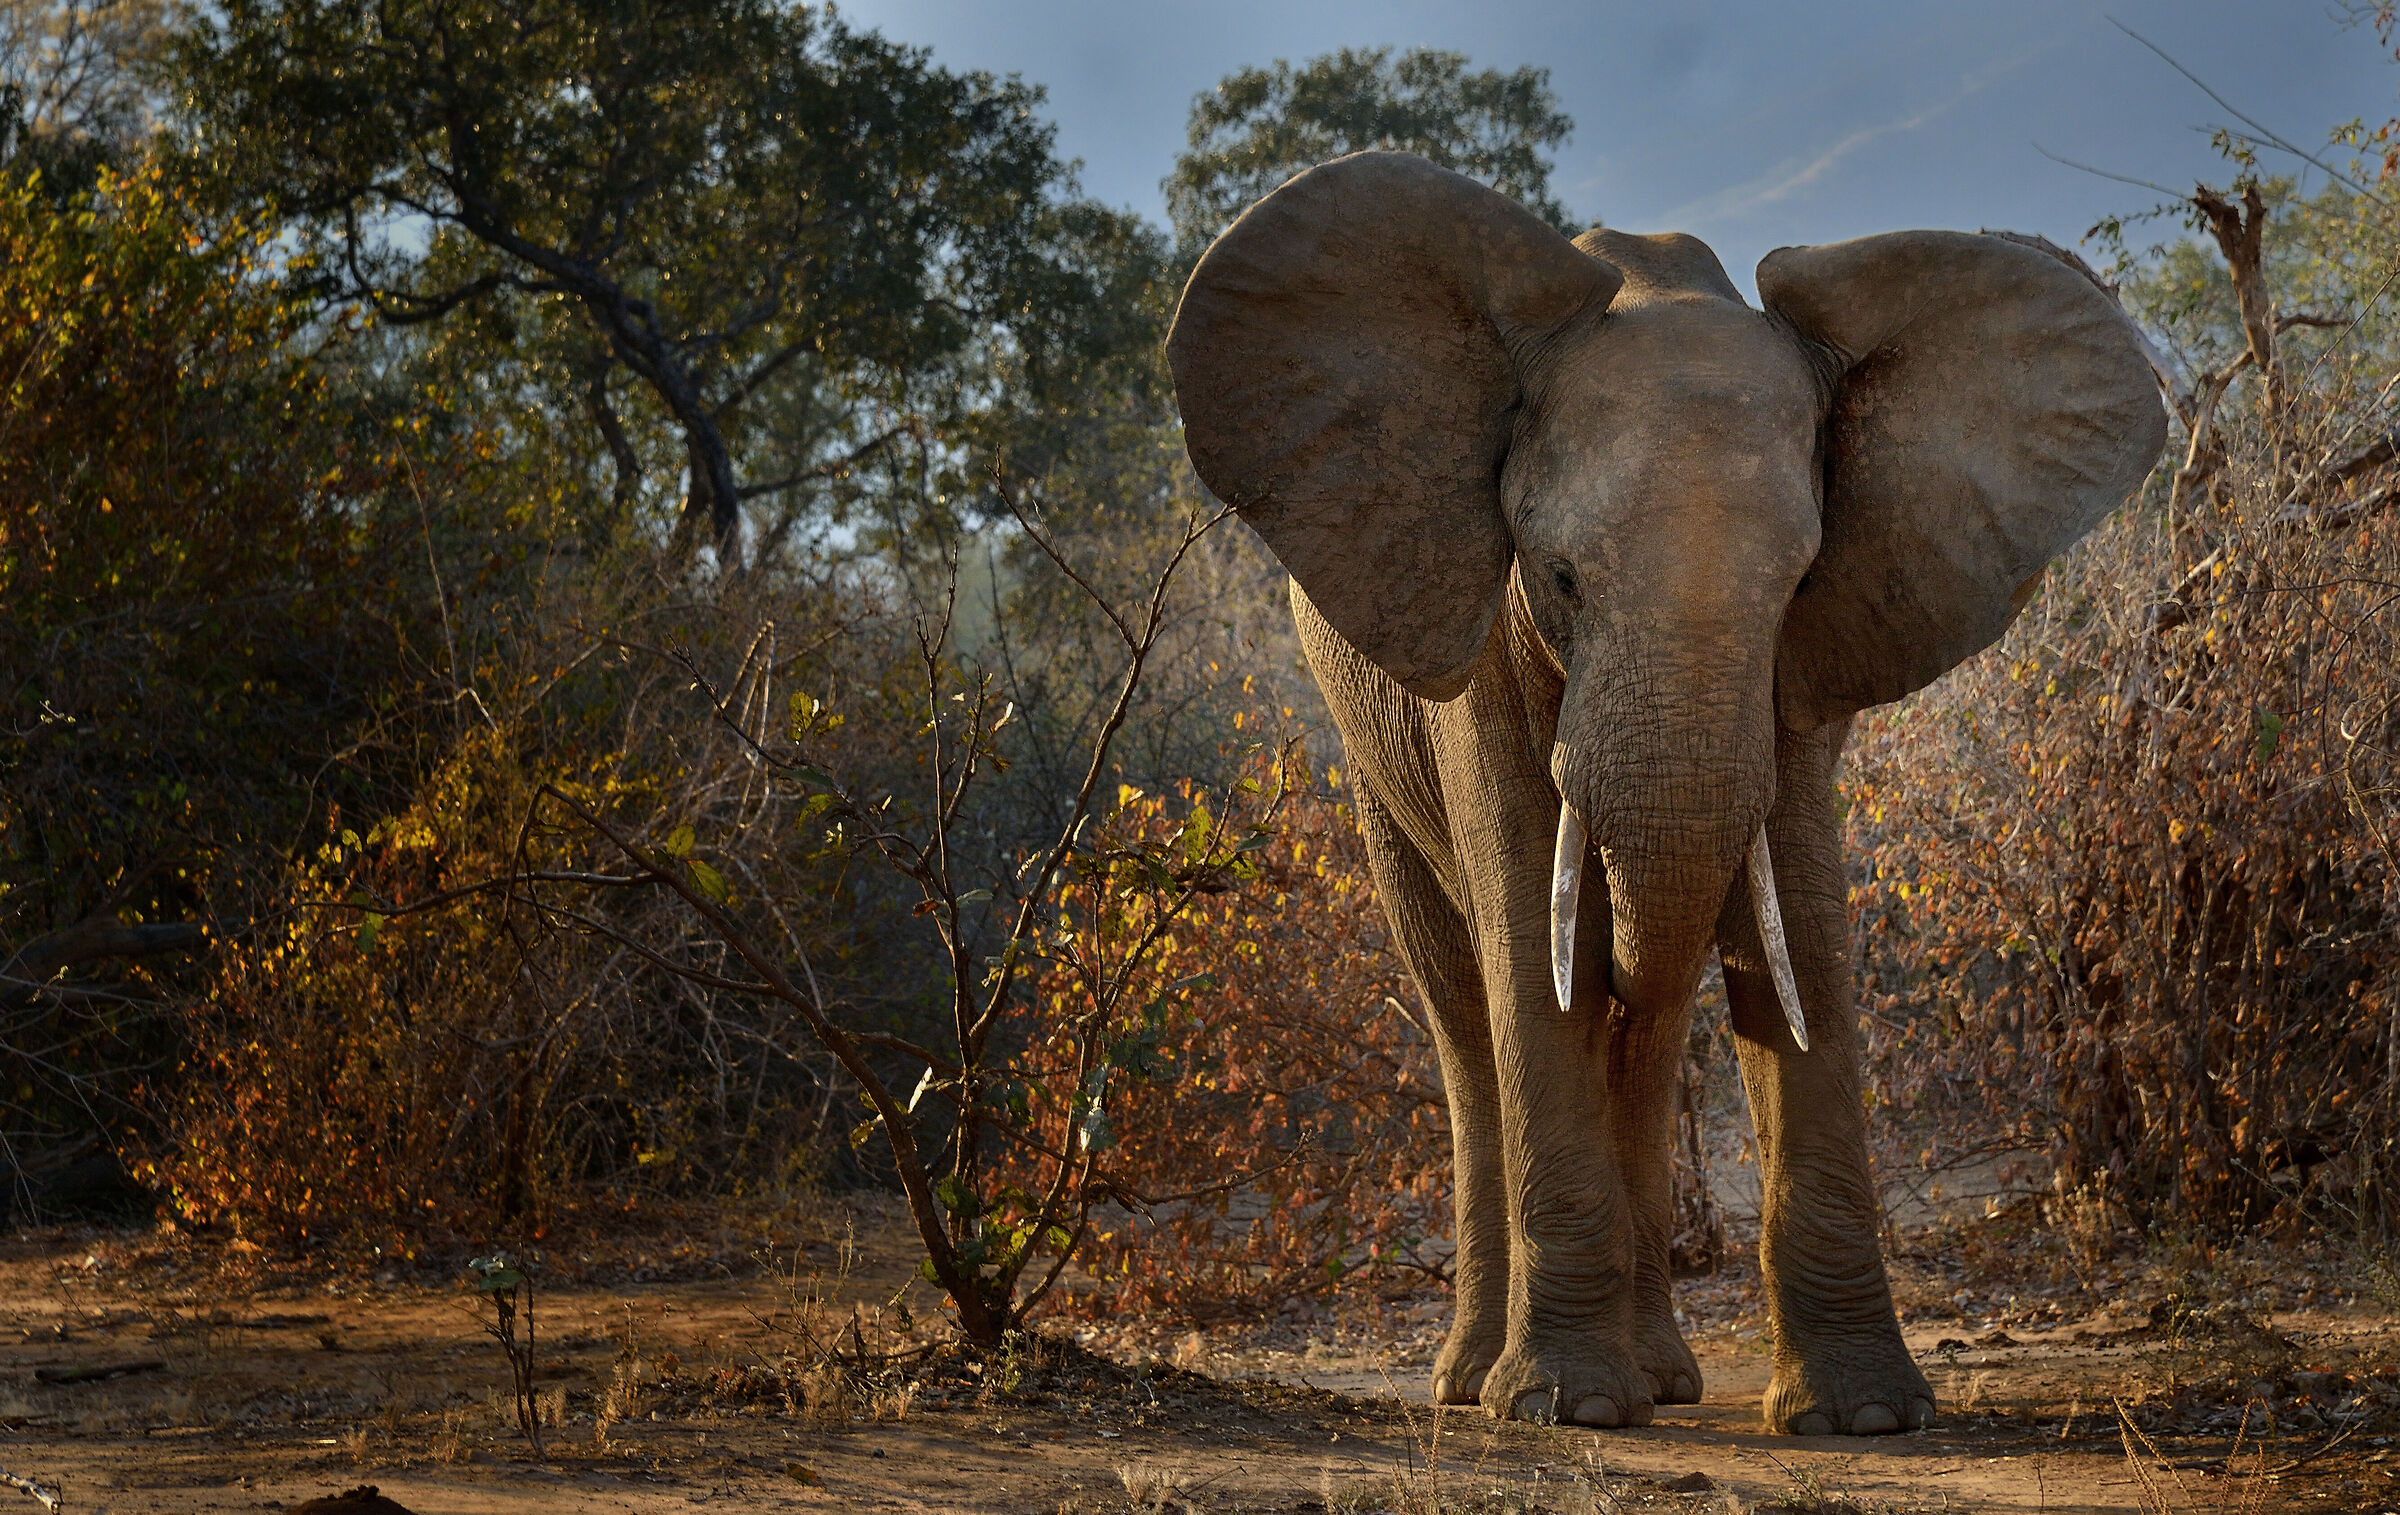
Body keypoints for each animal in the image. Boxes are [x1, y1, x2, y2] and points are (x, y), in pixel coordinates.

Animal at [1165, 152, 2165, 1435]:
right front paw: (1564, 1407)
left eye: (1799, 583)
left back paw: (1662, 1378)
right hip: (1375, 762)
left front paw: (1864, 1418)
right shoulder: (1482, 657)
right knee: (1472, 1012)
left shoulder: (1807, 671)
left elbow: (1803, 926)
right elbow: (1527, 935)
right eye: (1558, 578)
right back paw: (1479, 1381)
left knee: (1646, 1027)